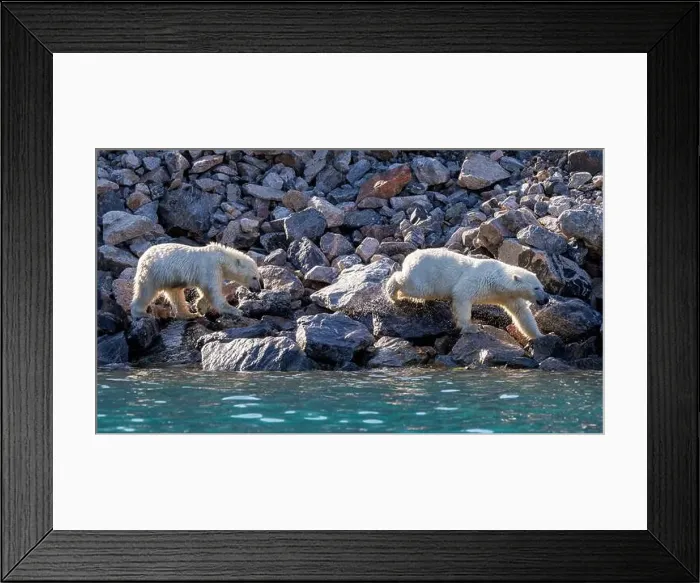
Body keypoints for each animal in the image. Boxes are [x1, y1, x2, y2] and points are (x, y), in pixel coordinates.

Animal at [130, 242, 261, 319]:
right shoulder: (210, 268)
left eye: (258, 277)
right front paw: (236, 311)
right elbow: (213, 292)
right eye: (254, 277)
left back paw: (189, 315)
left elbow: (207, 291)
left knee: (175, 294)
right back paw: (140, 313)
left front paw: (200, 307)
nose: (258, 289)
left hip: (168, 279)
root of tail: (143, 256)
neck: (221, 259)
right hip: (153, 272)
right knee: (146, 291)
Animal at [384, 248, 549, 339]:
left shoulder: (509, 296)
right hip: (426, 276)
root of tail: (409, 257)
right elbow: (461, 296)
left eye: (542, 287)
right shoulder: (475, 281)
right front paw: (471, 328)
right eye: (536, 288)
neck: (497, 279)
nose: (546, 299)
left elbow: (521, 313)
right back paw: (392, 293)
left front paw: (541, 336)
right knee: (413, 285)